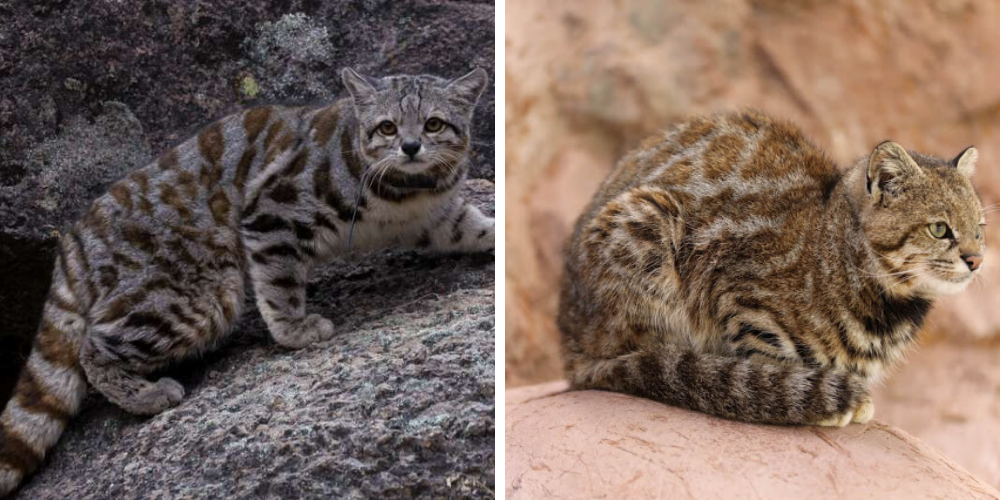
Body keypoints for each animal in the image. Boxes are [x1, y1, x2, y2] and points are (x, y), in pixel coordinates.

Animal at [0, 67, 492, 496]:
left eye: (433, 123)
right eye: (387, 127)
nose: (409, 146)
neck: (408, 190)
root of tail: (73, 244)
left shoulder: (438, 218)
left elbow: (472, 226)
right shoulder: (272, 210)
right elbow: (278, 282)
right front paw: (295, 330)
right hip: (193, 295)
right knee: (94, 349)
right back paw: (147, 394)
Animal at [560, 111, 988, 428]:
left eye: (979, 229)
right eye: (940, 229)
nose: (976, 259)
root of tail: (569, 342)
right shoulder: (735, 291)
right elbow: (762, 359)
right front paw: (787, 390)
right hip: (645, 222)